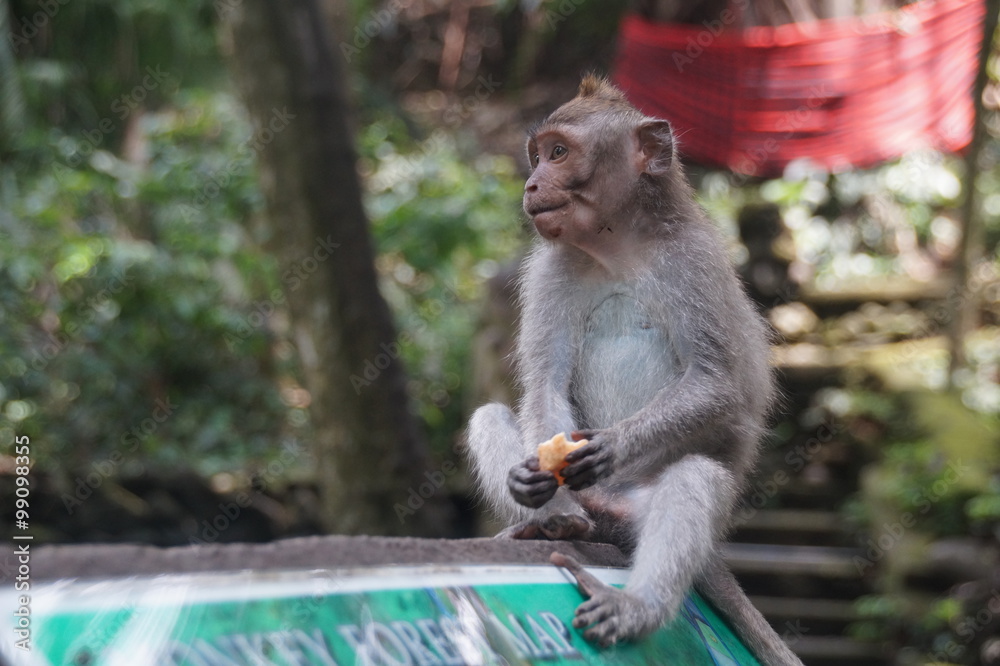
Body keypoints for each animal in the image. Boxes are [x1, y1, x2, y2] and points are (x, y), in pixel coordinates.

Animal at [464, 75, 803, 666]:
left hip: (638, 517)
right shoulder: (551, 269)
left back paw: (637, 605)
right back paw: (552, 520)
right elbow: (546, 385)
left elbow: (716, 382)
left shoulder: (692, 261)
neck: (616, 246)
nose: (531, 184)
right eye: (537, 155)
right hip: (590, 509)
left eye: (558, 153)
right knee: (490, 417)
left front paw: (612, 447)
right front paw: (533, 478)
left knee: (694, 478)